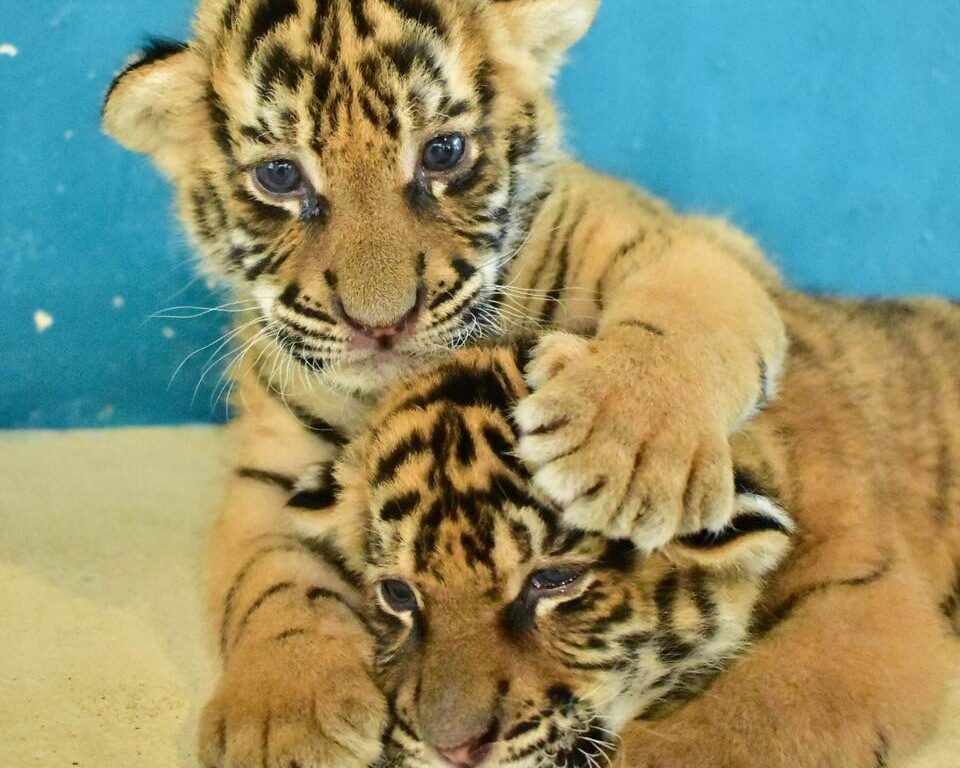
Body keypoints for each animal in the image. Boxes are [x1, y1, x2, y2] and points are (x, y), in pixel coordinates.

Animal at [102, 0, 789, 761]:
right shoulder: (269, 470)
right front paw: (284, 718)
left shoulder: (676, 242)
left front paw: (624, 446)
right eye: (281, 176)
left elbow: (690, 306)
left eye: (443, 153)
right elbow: (268, 577)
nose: (381, 323)